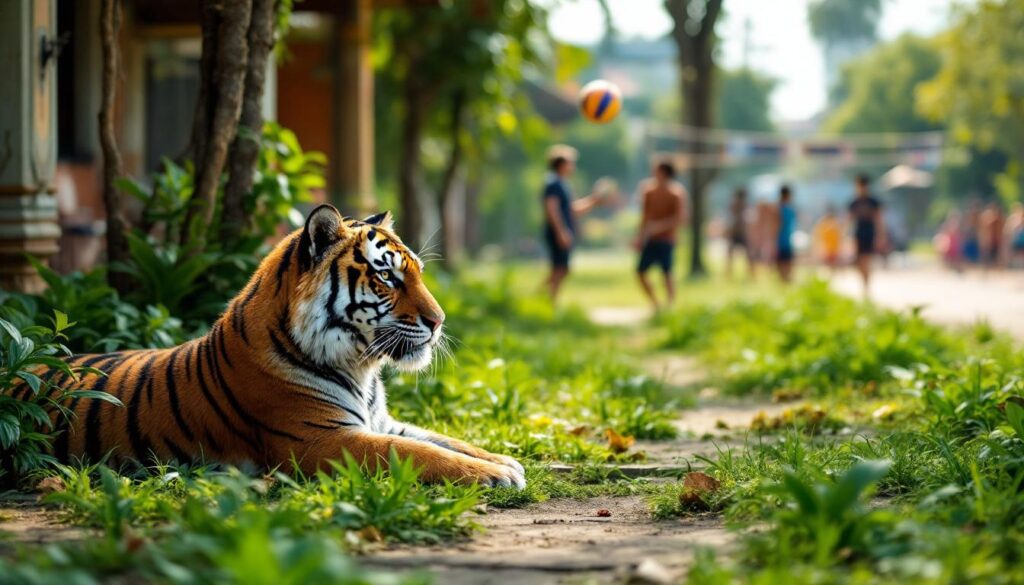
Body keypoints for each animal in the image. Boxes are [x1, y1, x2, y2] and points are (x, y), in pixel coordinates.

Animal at [21, 205, 525, 488]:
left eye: (417, 271)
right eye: (386, 276)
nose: (439, 323)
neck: (361, 369)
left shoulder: (381, 422)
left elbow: (446, 440)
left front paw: (502, 459)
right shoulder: (320, 441)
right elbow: (416, 453)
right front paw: (497, 474)